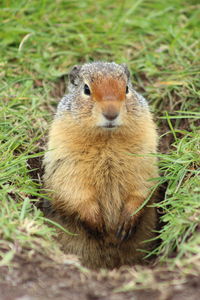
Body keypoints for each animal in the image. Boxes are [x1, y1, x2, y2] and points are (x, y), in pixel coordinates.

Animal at [43, 62, 159, 268]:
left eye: (127, 88)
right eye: (86, 89)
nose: (111, 113)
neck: (107, 140)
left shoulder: (145, 152)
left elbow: (142, 185)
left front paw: (125, 224)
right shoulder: (65, 155)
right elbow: (73, 189)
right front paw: (99, 226)